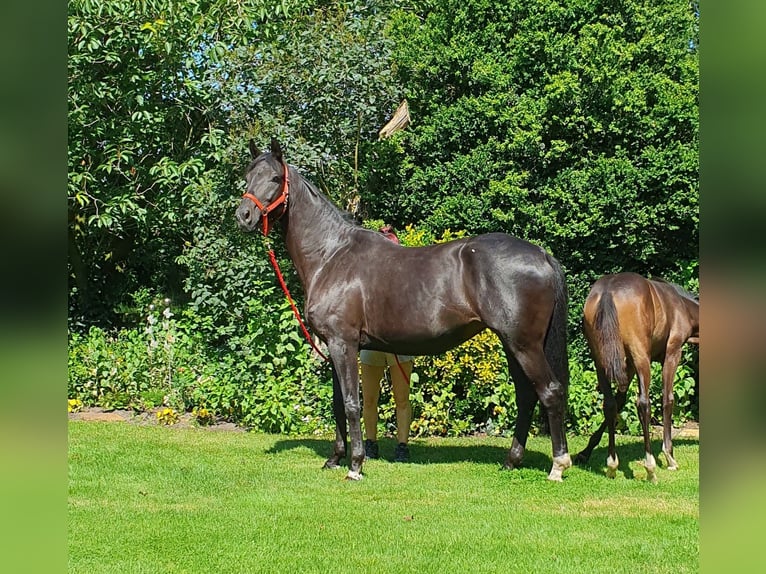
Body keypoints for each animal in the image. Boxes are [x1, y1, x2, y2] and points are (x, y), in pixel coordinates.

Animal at [235, 138, 572, 481]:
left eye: (275, 178)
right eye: (247, 177)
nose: (244, 215)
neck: (331, 255)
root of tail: (542, 254)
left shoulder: (343, 343)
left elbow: (352, 403)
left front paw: (355, 465)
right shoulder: (334, 346)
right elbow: (338, 404)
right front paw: (335, 458)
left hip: (524, 345)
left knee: (550, 392)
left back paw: (558, 465)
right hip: (512, 344)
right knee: (526, 395)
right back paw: (511, 461)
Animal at [574, 272, 699, 482]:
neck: (682, 306)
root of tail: (608, 291)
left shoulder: (629, 365)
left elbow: (618, 402)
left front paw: (585, 452)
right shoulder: (672, 353)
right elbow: (667, 400)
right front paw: (669, 456)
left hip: (602, 360)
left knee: (609, 404)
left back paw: (612, 465)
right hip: (641, 357)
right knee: (643, 403)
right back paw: (650, 467)